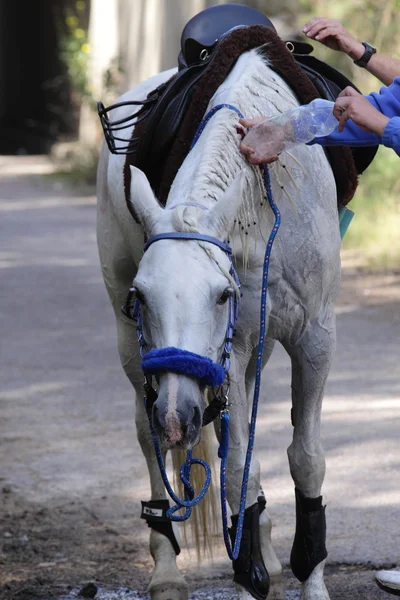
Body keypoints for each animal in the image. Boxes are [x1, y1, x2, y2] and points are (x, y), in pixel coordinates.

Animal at [96, 48, 338, 600]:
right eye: (140, 297)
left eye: (222, 294)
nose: (176, 415)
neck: (268, 199)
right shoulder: (233, 348)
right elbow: (236, 474)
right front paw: (250, 574)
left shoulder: (312, 337)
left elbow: (306, 457)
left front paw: (309, 575)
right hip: (140, 359)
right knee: (148, 435)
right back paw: (167, 570)